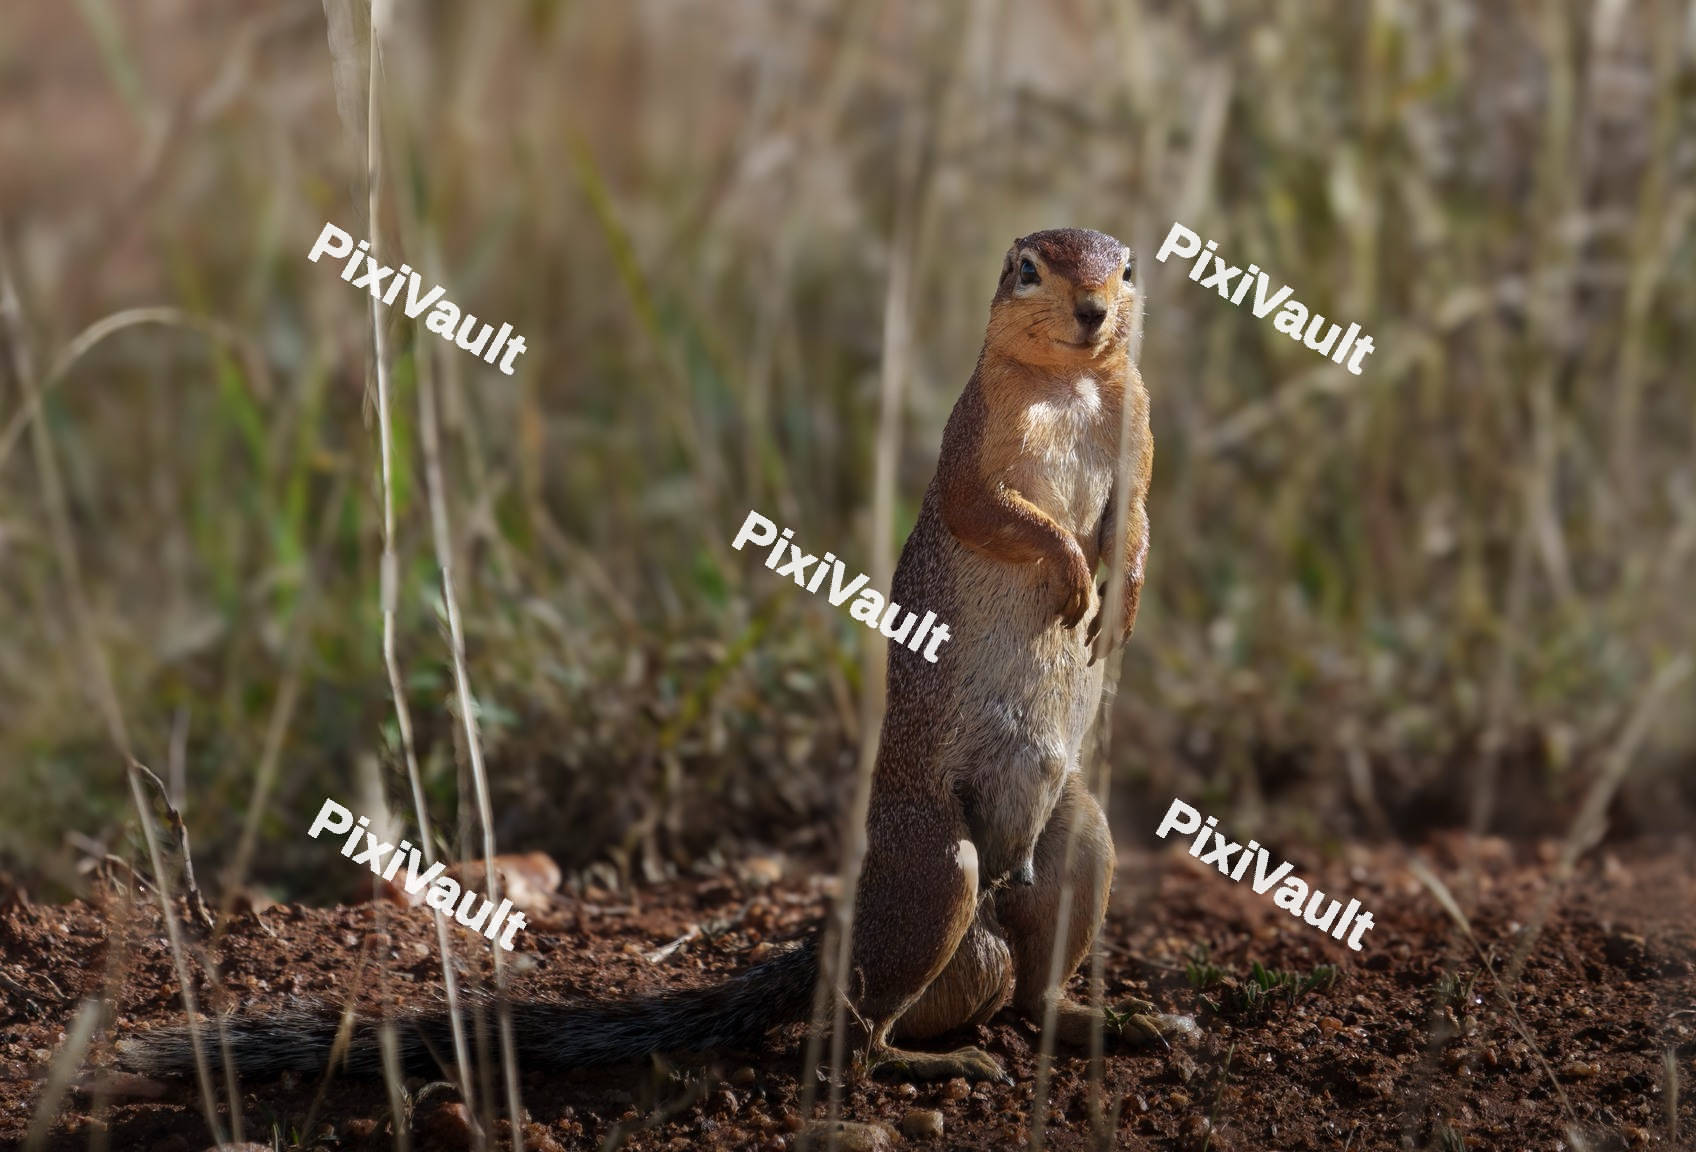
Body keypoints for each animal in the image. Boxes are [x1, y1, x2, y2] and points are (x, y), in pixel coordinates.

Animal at [116, 227, 1182, 1086]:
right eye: (1029, 267)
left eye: (1127, 266)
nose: (1094, 311)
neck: (1070, 384)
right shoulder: (975, 445)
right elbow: (996, 510)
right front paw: (1072, 573)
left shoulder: (1140, 429)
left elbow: (1134, 522)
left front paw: (1120, 601)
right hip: (934, 871)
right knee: (847, 1034)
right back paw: (923, 1067)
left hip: (1081, 838)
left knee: (1031, 988)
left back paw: (1108, 1019)